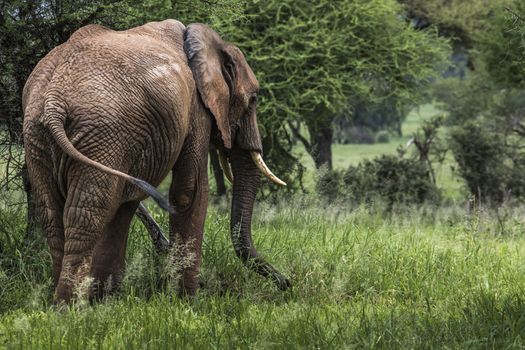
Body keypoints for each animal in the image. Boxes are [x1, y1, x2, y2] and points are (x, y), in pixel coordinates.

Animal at [21, 19, 290, 304]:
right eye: (254, 99)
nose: (286, 283)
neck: (204, 42)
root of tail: (54, 101)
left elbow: (125, 206)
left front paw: (108, 301)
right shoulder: (196, 109)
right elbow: (189, 191)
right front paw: (188, 302)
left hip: (39, 137)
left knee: (53, 212)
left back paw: (65, 303)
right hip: (102, 133)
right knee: (88, 214)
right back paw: (68, 307)